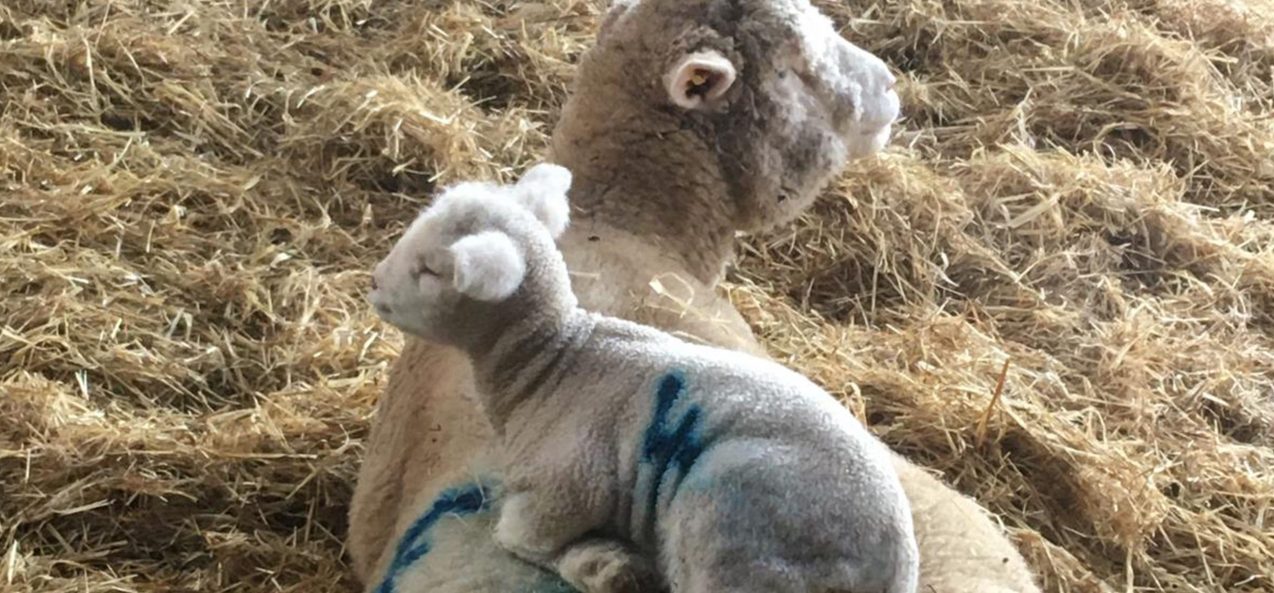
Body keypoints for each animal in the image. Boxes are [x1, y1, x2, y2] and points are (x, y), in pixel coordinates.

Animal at [366, 164, 917, 591]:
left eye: (431, 270)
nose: (373, 282)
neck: (551, 363)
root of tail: (895, 565)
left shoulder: (561, 490)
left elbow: (518, 537)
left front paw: (603, 565)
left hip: (729, 527)